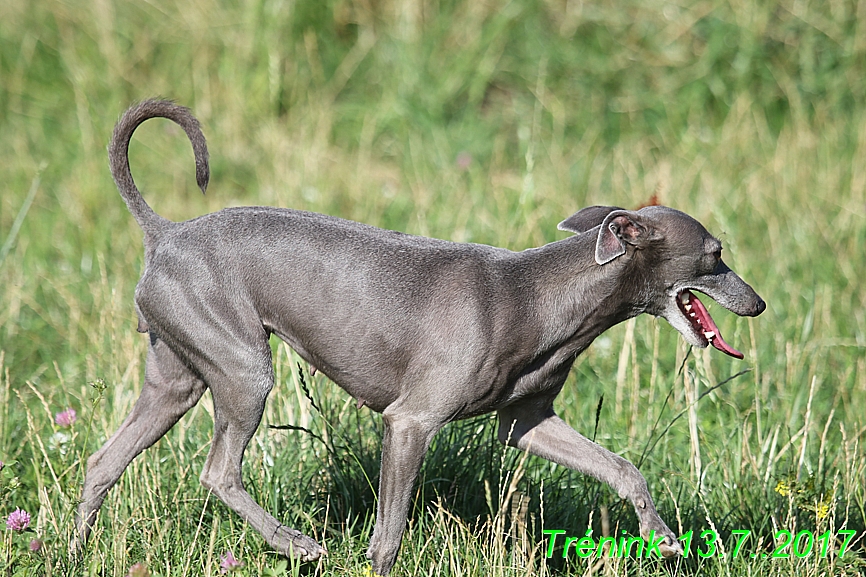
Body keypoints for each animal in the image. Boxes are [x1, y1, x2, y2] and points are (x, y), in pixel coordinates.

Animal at [76, 99, 764, 572]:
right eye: (716, 254)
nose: (757, 304)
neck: (540, 295)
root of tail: (165, 233)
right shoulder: (410, 421)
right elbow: (388, 534)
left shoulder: (527, 421)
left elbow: (622, 469)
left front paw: (664, 537)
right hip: (244, 370)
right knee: (219, 472)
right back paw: (296, 543)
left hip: (176, 378)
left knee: (101, 462)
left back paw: (76, 553)